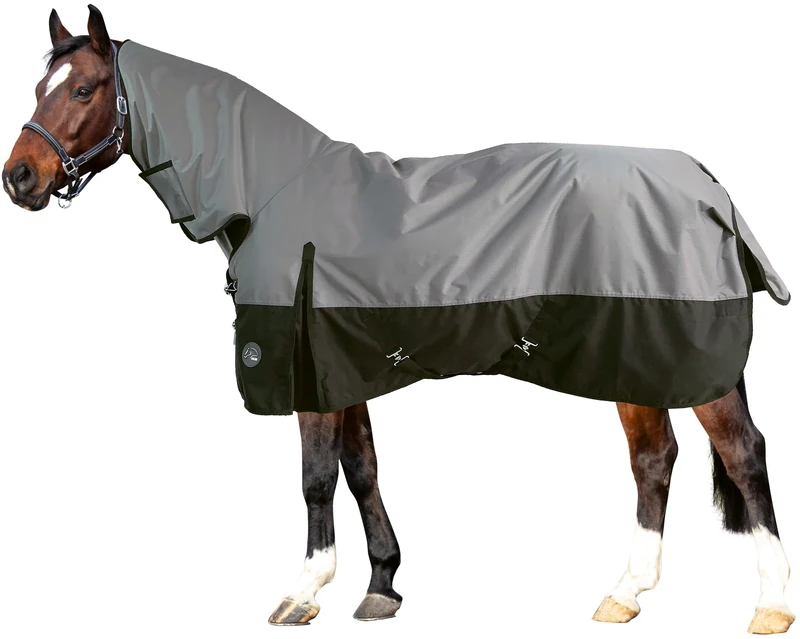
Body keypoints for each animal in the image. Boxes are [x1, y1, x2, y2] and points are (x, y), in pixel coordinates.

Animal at [2, 6, 794, 634]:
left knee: (743, 453)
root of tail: (708, 186)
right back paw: (626, 592)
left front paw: (303, 591)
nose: (20, 177)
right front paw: (382, 585)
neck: (269, 192)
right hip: (635, 354)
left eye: (82, 88)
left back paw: (770, 604)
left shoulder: (305, 367)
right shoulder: (342, 361)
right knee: (654, 458)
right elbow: (362, 470)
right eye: (39, 87)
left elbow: (316, 476)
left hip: (682, 357)